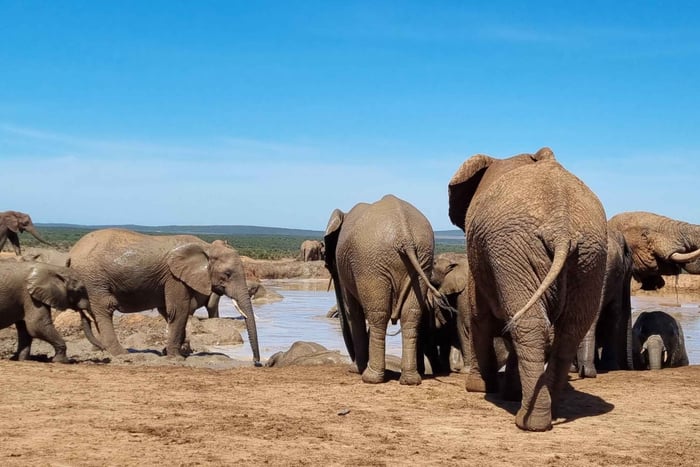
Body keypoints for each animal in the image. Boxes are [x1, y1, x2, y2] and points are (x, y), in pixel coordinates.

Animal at [67, 228, 261, 364]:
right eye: (227, 274)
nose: (256, 362)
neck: (206, 247)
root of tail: (71, 253)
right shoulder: (174, 277)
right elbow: (178, 309)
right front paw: (177, 357)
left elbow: (168, 310)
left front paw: (179, 351)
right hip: (94, 278)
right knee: (104, 308)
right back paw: (121, 354)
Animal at [324, 194, 450, 385]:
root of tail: (404, 234)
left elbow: (353, 311)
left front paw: (355, 370)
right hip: (422, 258)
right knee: (411, 315)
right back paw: (410, 380)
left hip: (370, 263)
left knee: (378, 315)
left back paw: (370, 377)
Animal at [448, 147, 608, 431]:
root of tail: (561, 229)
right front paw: (508, 392)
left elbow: (480, 317)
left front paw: (478, 388)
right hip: (590, 254)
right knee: (570, 329)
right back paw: (547, 409)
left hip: (514, 249)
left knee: (529, 324)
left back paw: (529, 421)